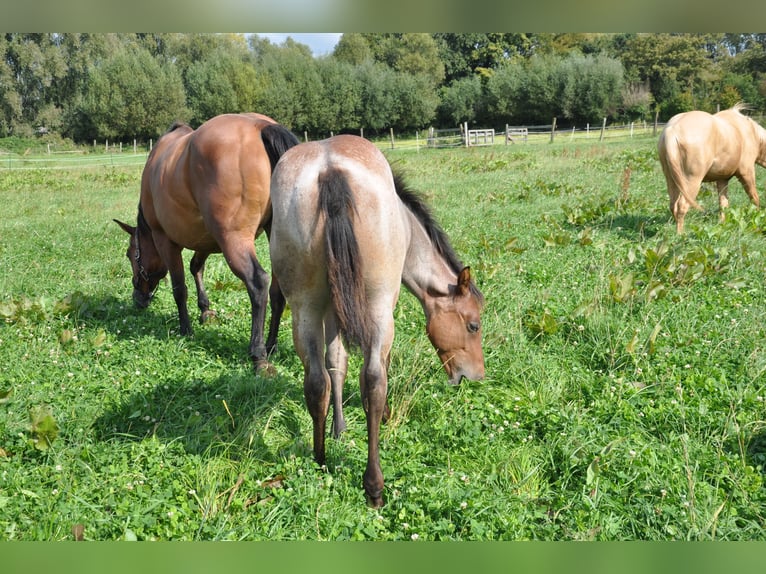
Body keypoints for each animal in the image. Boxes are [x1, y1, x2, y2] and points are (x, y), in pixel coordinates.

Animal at [114, 113, 299, 370]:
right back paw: (271, 345)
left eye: (131, 254)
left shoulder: (165, 240)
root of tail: (261, 127)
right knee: (277, 290)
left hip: (233, 239)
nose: (138, 299)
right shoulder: (207, 238)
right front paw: (205, 310)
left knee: (258, 283)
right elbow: (196, 267)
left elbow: (179, 288)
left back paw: (258, 353)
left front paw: (186, 329)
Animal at [268, 134, 486, 507]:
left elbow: (335, 363)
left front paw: (338, 429)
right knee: (372, 380)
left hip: (305, 308)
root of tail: (330, 171)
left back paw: (320, 460)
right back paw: (374, 487)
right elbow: (375, 366)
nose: (476, 377)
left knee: (316, 381)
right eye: (473, 325)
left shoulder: (331, 309)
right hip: (378, 307)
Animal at [658, 103, 766, 233]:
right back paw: (680, 235)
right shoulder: (747, 173)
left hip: (672, 180)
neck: (751, 133)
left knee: (673, 205)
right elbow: (754, 198)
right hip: (691, 182)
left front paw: (723, 224)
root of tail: (671, 130)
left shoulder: (722, 179)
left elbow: (723, 203)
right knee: (681, 206)